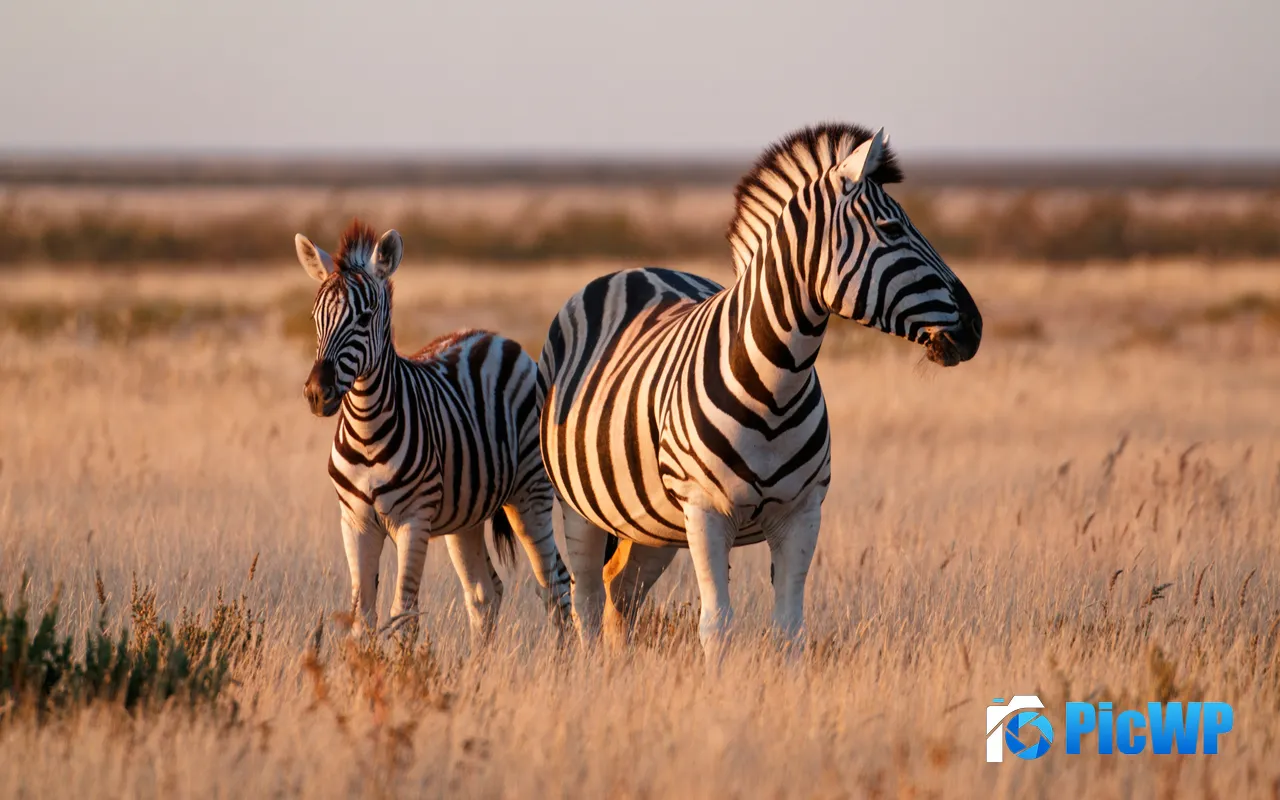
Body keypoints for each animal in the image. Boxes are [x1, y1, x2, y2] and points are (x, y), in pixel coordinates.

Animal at [297, 220, 572, 645]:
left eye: (365, 317)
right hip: (467, 515)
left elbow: (403, 613)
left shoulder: (414, 520)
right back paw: (479, 662)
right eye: (315, 318)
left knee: (554, 583)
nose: (316, 393)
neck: (366, 428)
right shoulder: (355, 522)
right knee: (484, 592)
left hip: (531, 495)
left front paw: (403, 664)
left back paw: (567, 657)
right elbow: (363, 616)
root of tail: (493, 337)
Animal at [538, 124, 982, 660]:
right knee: (584, 596)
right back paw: (591, 669)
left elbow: (790, 628)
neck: (775, 388)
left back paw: (618, 668)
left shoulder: (802, 513)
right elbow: (716, 626)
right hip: (580, 505)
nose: (976, 327)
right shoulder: (705, 512)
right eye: (891, 229)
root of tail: (635, 269)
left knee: (620, 590)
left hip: (653, 523)